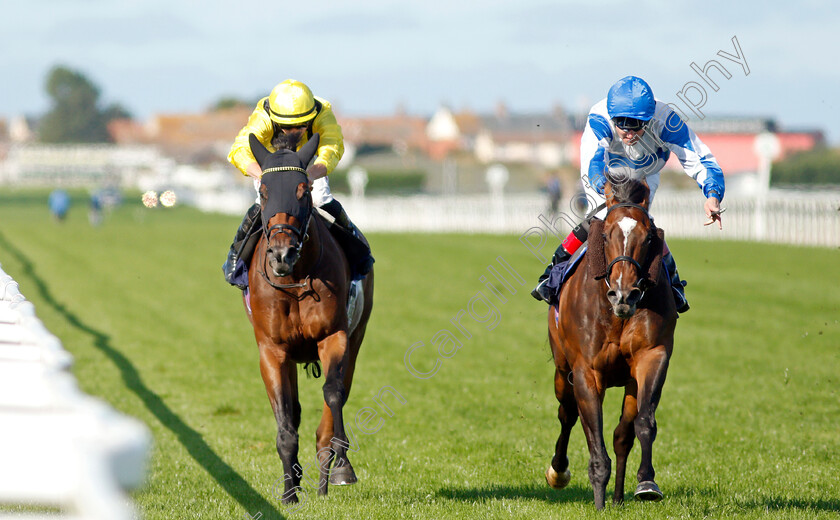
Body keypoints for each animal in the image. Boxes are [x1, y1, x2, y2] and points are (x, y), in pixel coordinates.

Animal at [243, 133, 374, 504]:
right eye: (264, 191)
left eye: (304, 189)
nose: (282, 254)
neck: (295, 279)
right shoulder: (272, 350)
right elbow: (286, 421)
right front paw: (289, 494)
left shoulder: (334, 336)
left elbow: (333, 394)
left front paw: (343, 465)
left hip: (358, 336)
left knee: (336, 397)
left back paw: (327, 479)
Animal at [544, 175, 676, 508]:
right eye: (605, 235)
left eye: (649, 237)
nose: (623, 294)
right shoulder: (586, 371)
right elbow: (594, 435)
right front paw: (598, 500)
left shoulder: (652, 356)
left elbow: (643, 423)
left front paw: (646, 482)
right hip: (562, 369)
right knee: (567, 414)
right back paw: (559, 472)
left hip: (628, 380)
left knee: (622, 436)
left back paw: (618, 497)